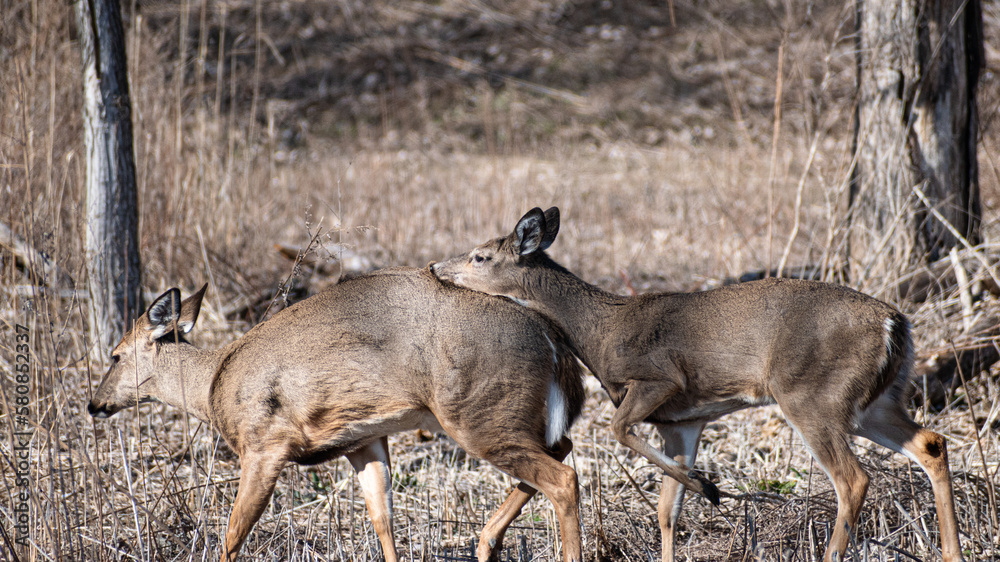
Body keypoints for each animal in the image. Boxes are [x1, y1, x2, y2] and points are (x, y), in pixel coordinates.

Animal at [88, 266, 588, 562]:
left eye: (115, 355)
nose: (95, 404)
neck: (213, 386)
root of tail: (552, 339)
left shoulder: (265, 444)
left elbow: (232, 533)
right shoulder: (362, 440)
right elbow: (382, 519)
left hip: (476, 414)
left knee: (563, 478)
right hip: (510, 417)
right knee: (562, 448)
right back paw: (485, 543)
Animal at [431, 207, 963, 562]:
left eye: (480, 257)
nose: (436, 267)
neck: (598, 333)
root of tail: (895, 322)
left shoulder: (660, 379)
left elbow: (618, 430)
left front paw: (709, 486)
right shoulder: (682, 423)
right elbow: (667, 510)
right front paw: (699, 488)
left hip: (811, 394)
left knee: (852, 478)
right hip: (874, 400)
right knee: (931, 443)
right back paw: (952, 552)